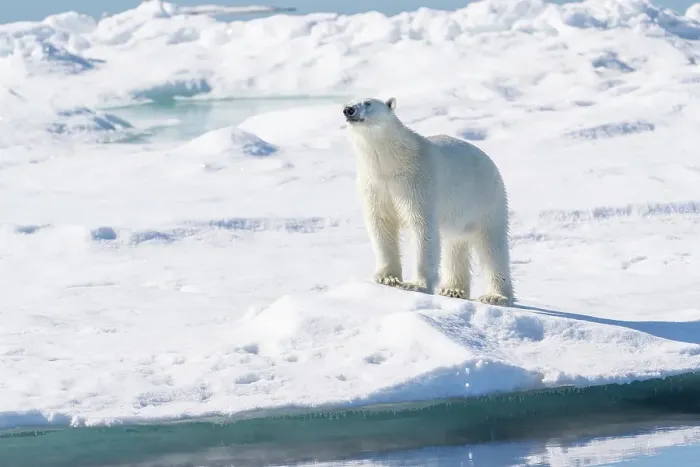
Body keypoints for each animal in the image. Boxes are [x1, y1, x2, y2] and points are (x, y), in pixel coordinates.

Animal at [343, 96, 514, 307]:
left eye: (367, 102)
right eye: (349, 101)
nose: (348, 110)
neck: (391, 162)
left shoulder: (418, 181)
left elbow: (421, 227)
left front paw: (416, 285)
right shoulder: (375, 184)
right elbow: (381, 224)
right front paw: (387, 278)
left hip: (487, 200)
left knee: (492, 246)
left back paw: (496, 296)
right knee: (455, 243)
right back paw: (453, 289)